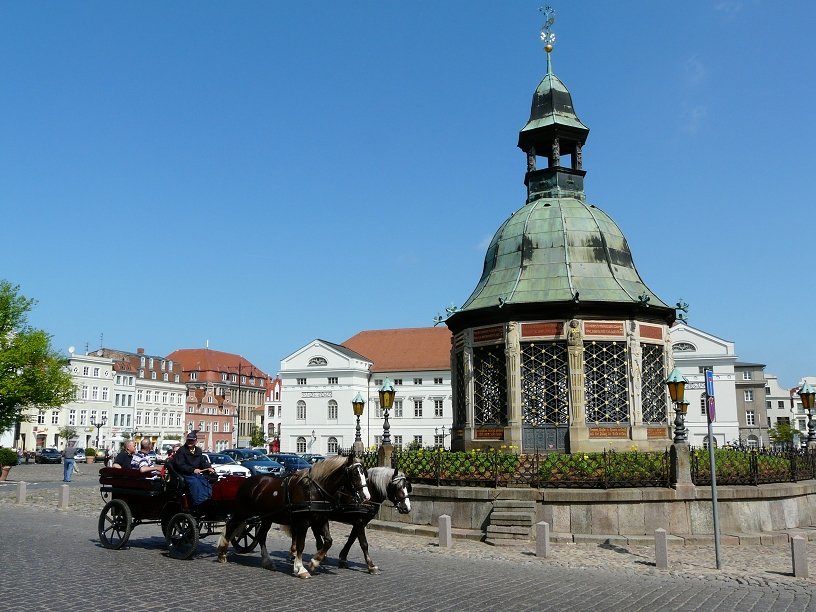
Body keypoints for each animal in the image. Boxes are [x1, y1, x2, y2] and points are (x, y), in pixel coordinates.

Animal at [217, 454, 370, 580]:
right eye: (355, 474)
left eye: (364, 473)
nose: (366, 497)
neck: (313, 490)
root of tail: (248, 481)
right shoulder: (303, 522)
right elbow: (301, 545)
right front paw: (301, 569)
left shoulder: (320, 520)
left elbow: (328, 541)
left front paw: (314, 562)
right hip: (243, 512)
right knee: (230, 525)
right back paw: (222, 553)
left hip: (267, 518)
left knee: (261, 537)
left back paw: (267, 562)